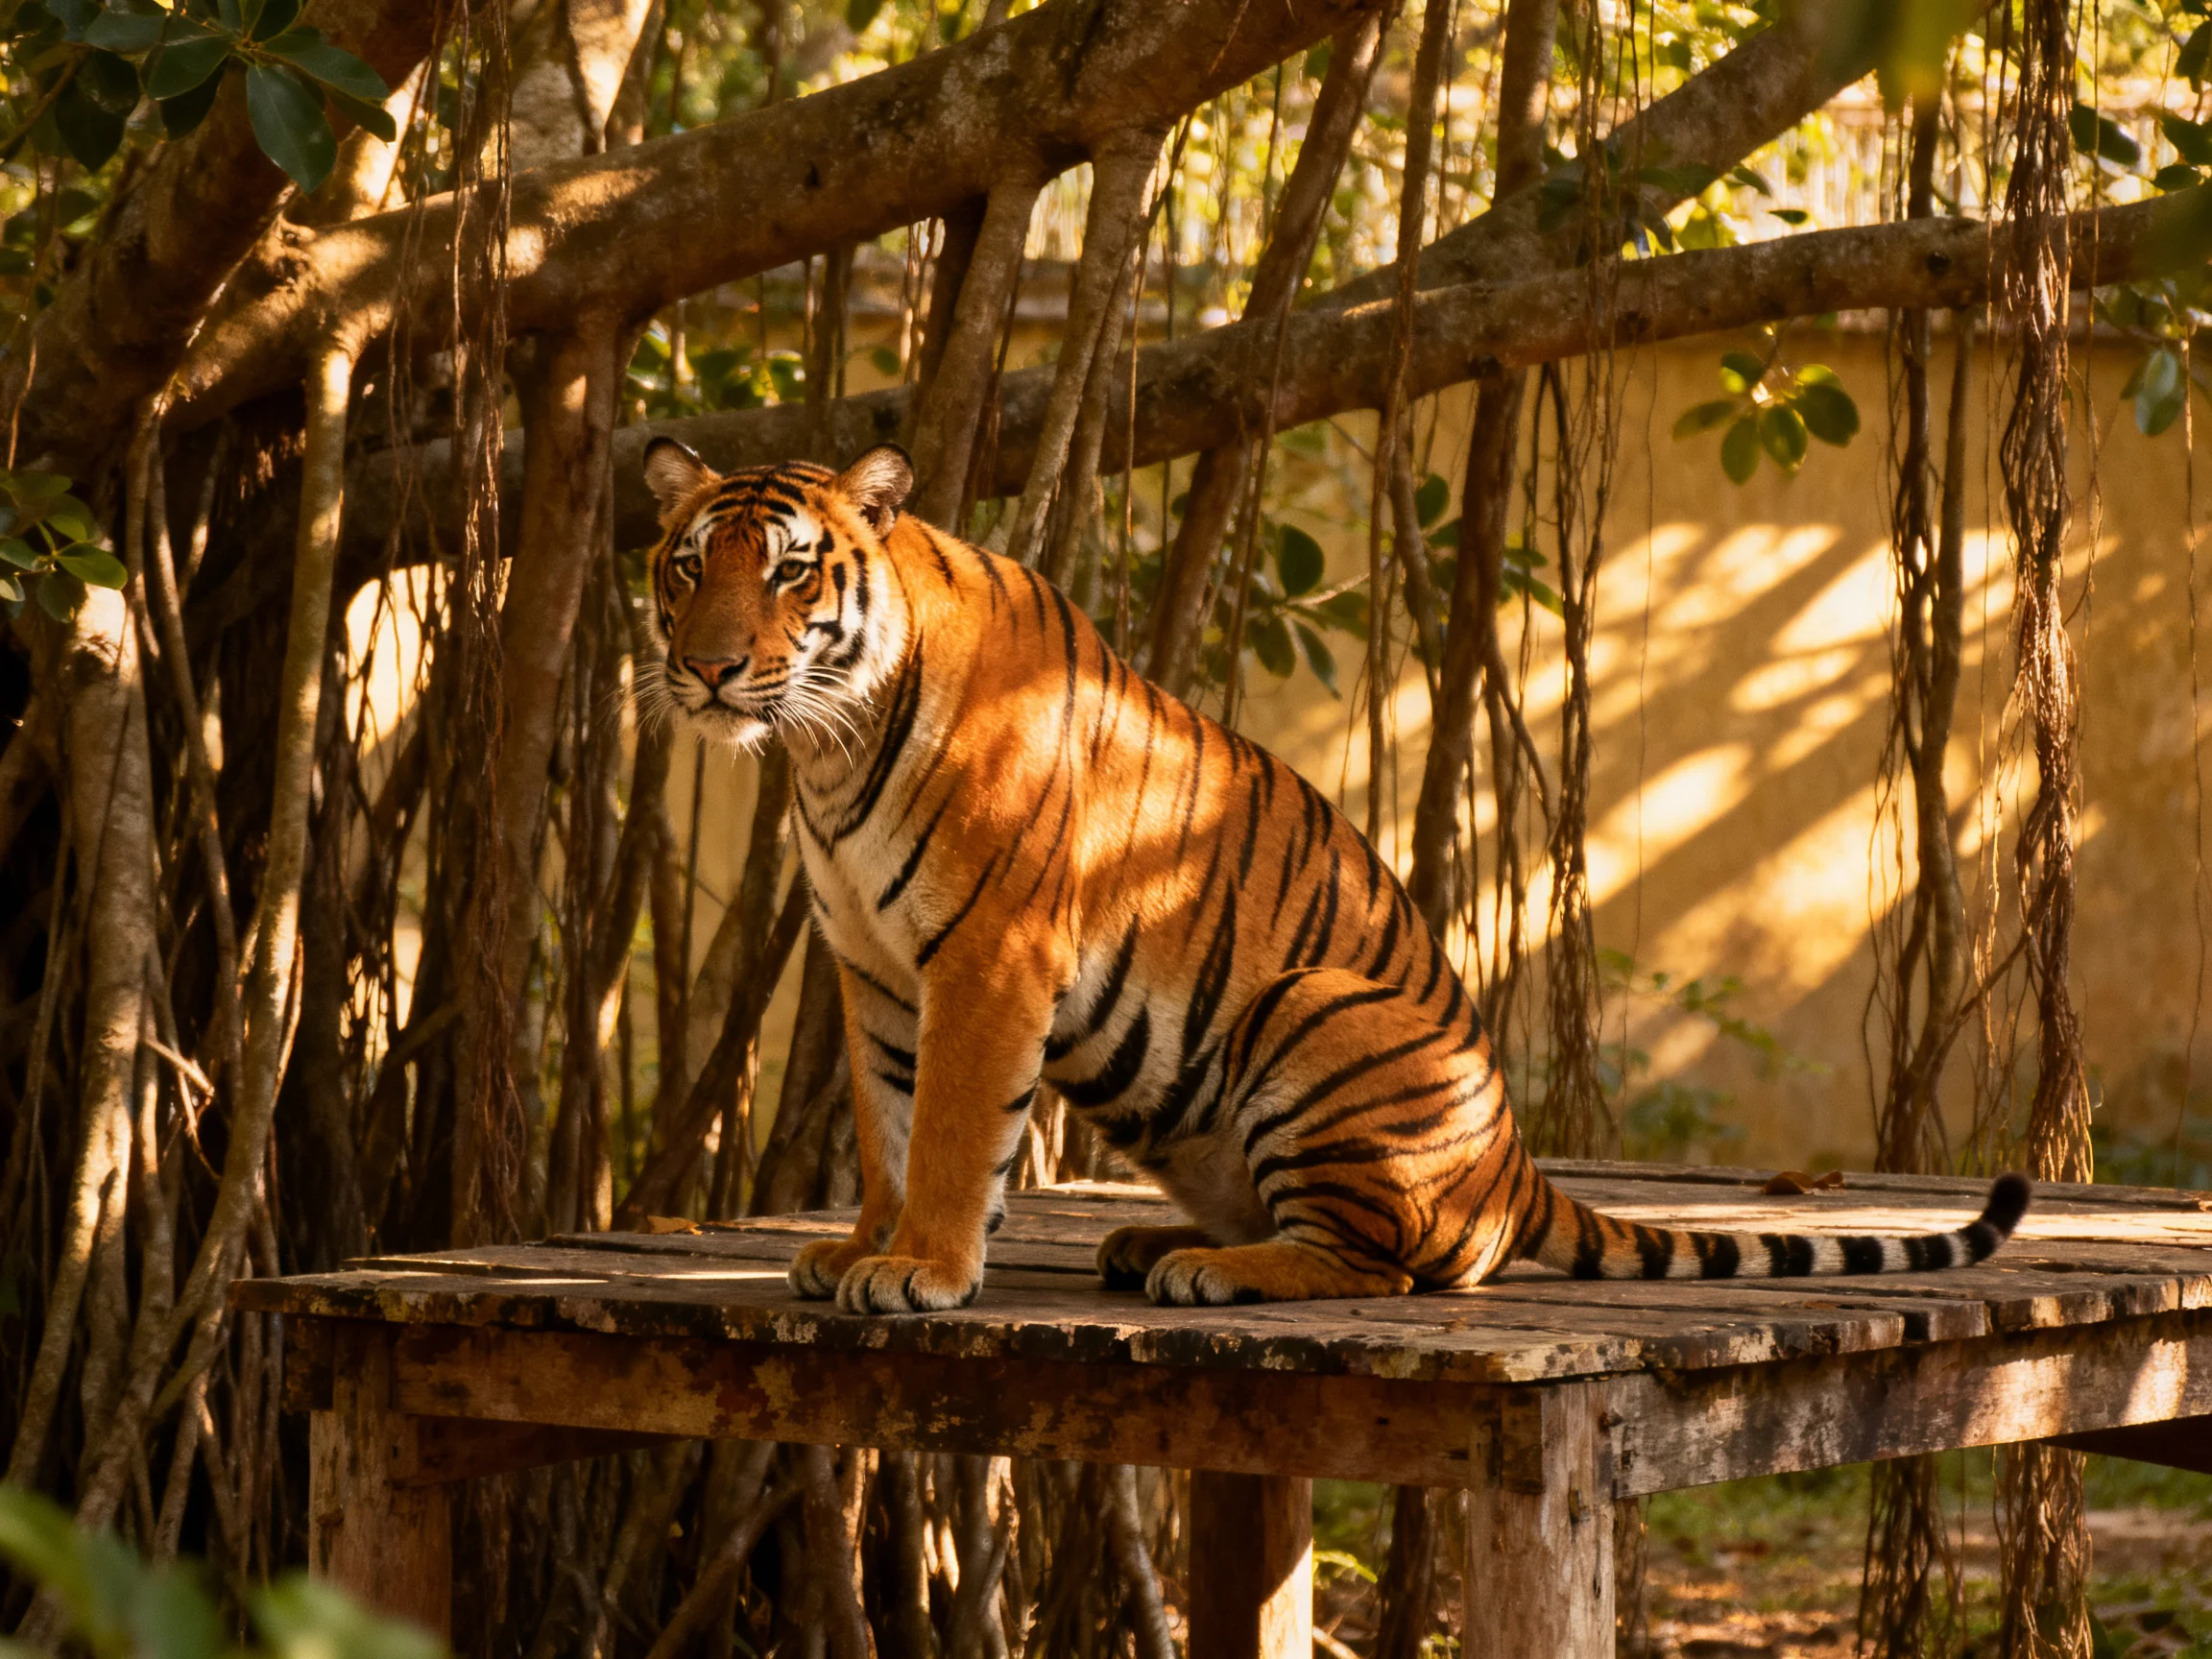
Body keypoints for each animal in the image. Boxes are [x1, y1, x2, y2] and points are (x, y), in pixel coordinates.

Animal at [640, 437, 2031, 1313]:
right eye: (687, 566)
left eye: (790, 568)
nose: (707, 669)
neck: (828, 743)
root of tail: (1516, 1167)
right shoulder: (874, 970)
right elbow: (886, 1126)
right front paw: (860, 1249)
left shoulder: (988, 958)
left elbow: (945, 1130)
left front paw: (921, 1267)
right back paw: (1153, 1241)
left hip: (1317, 1009)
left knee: (1396, 1263)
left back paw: (1211, 1270)